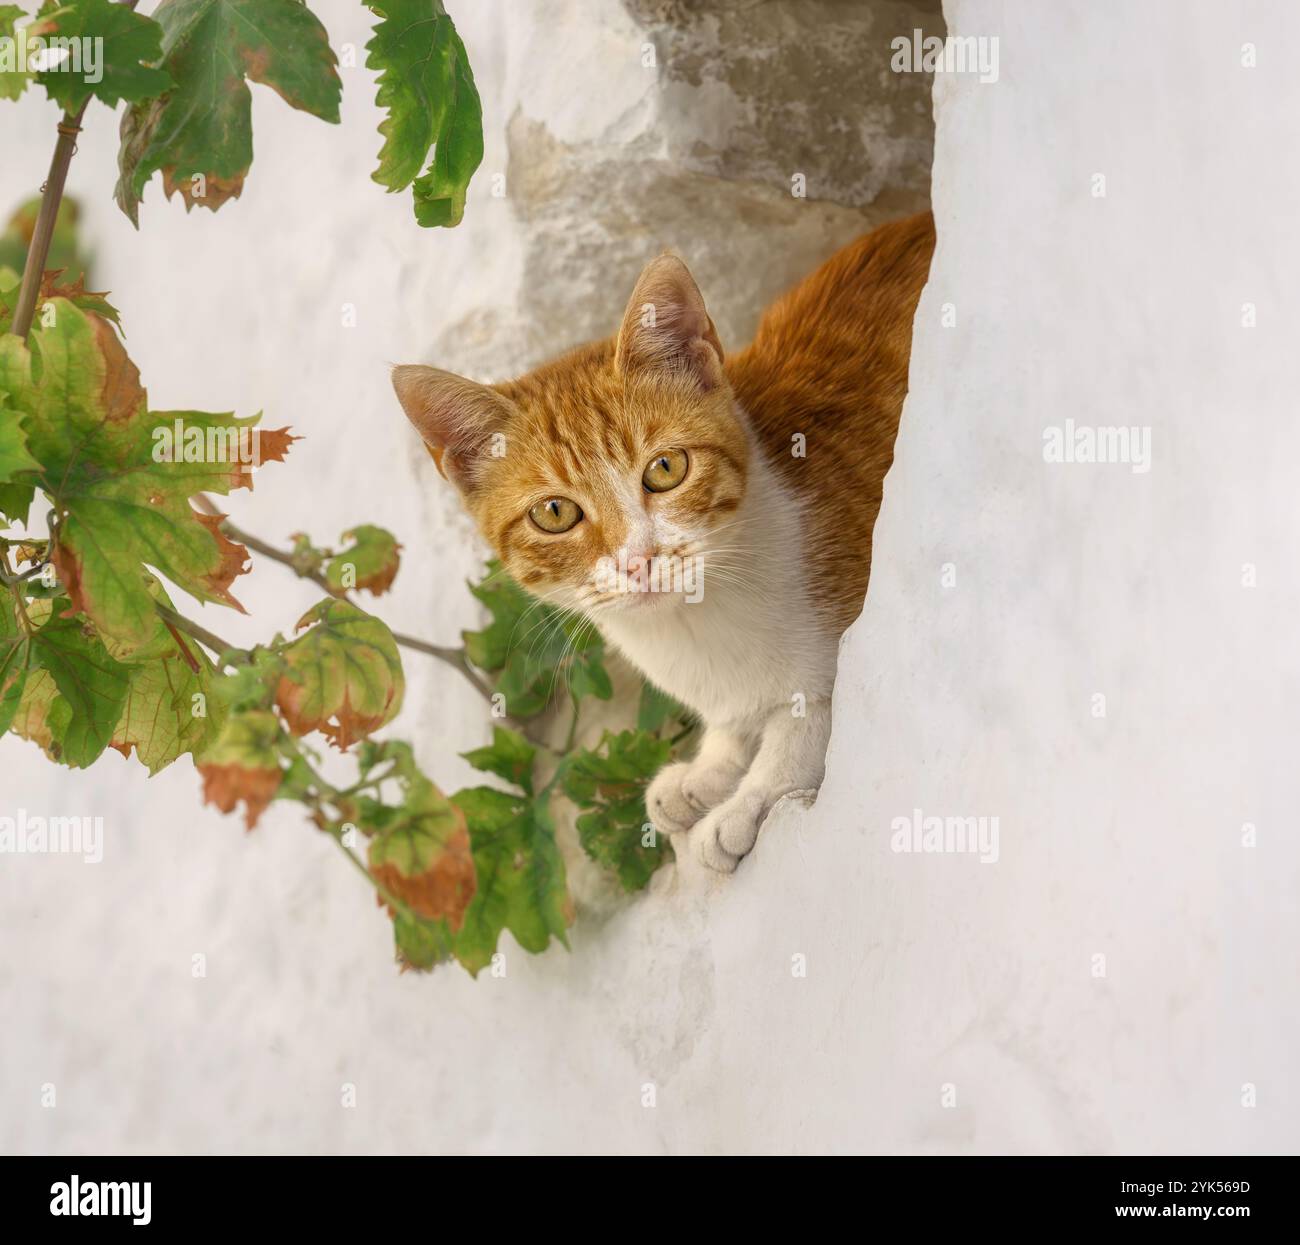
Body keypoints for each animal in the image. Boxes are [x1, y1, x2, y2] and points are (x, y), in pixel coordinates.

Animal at [395, 211, 935, 878]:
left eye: (666, 469)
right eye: (555, 513)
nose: (638, 560)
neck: (695, 634)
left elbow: (813, 718)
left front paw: (750, 798)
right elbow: (739, 727)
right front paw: (709, 772)